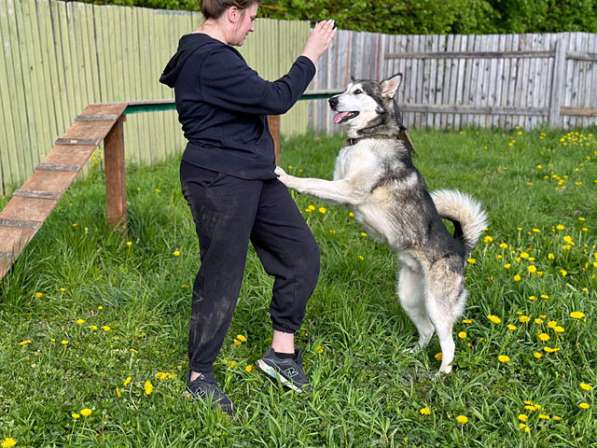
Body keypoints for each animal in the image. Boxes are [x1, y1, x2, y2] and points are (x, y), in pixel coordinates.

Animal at [278, 74, 486, 374]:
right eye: (342, 89)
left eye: (358, 92)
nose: (332, 100)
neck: (368, 137)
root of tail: (460, 247)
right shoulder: (340, 187)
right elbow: (317, 184)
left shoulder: (349, 189)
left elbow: (311, 182)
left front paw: (285, 176)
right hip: (409, 297)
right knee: (426, 330)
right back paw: (411, 354)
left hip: (437, 305)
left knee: (448, 343)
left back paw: (440, 375)